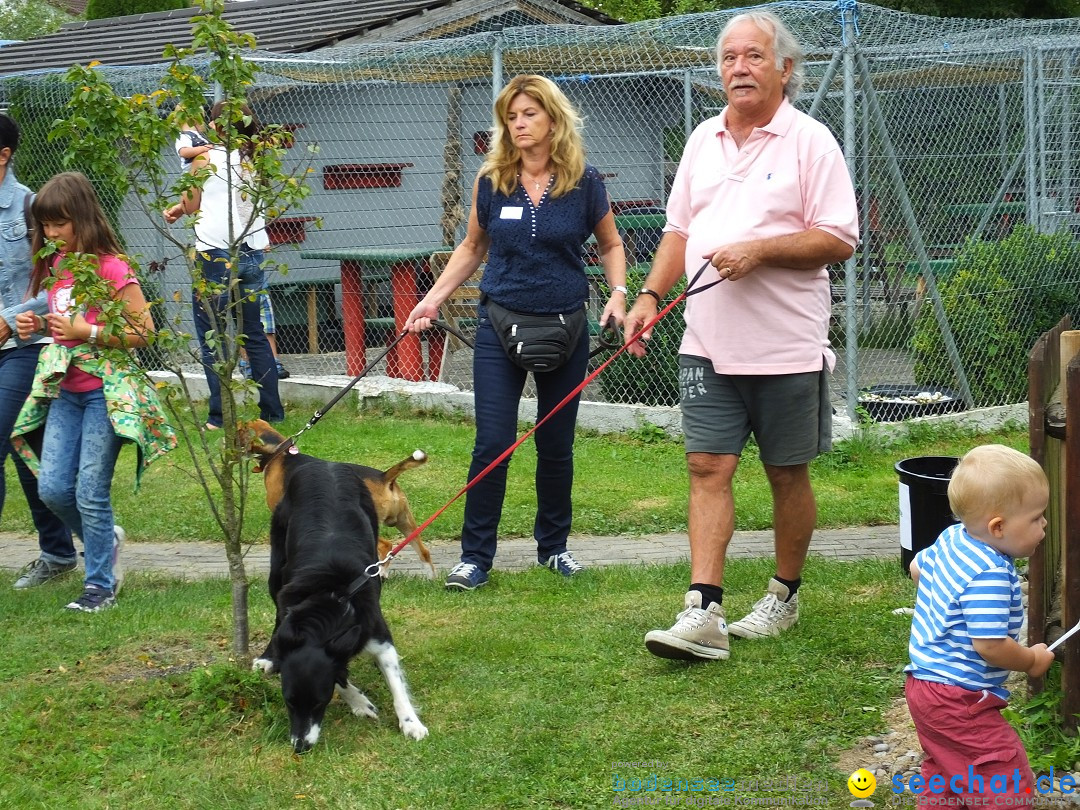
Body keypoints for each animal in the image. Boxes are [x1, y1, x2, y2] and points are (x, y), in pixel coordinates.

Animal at [240, 421, 434, 578]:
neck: (279, 453)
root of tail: (384, 477)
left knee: (386, 546)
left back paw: (379, 575)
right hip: (405, 521)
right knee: (424, 552)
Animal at [248, 444, 425, 756]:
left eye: (320, 702)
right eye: (288, 701)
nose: (300, 746)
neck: (331, 597)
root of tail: (325, 464)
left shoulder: (375, 629)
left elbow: (395, 682)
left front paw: (410, 722)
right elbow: (339, 675)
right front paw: (359, 702)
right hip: (276, 564)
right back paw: (269, 657)